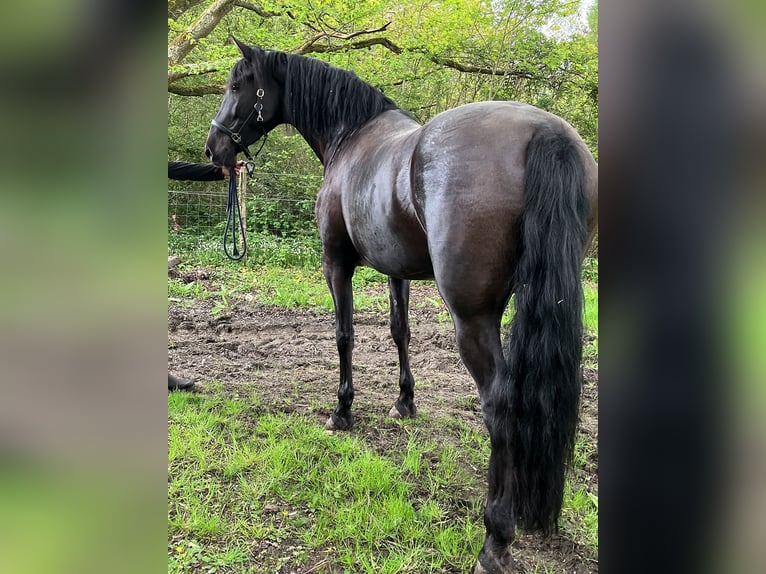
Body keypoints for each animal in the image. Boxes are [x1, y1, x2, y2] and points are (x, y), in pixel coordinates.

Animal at [208, 40, 600, 574]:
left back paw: (495, 539)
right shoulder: (396, 268)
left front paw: (342, 411)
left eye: (236, 85)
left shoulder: (336, 262)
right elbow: (400, 331)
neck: (350, 137)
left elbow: (344, 334)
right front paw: (404, 402)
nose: (213, 148)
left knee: (500, 404)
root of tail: (547, 132)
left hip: (473, 317)